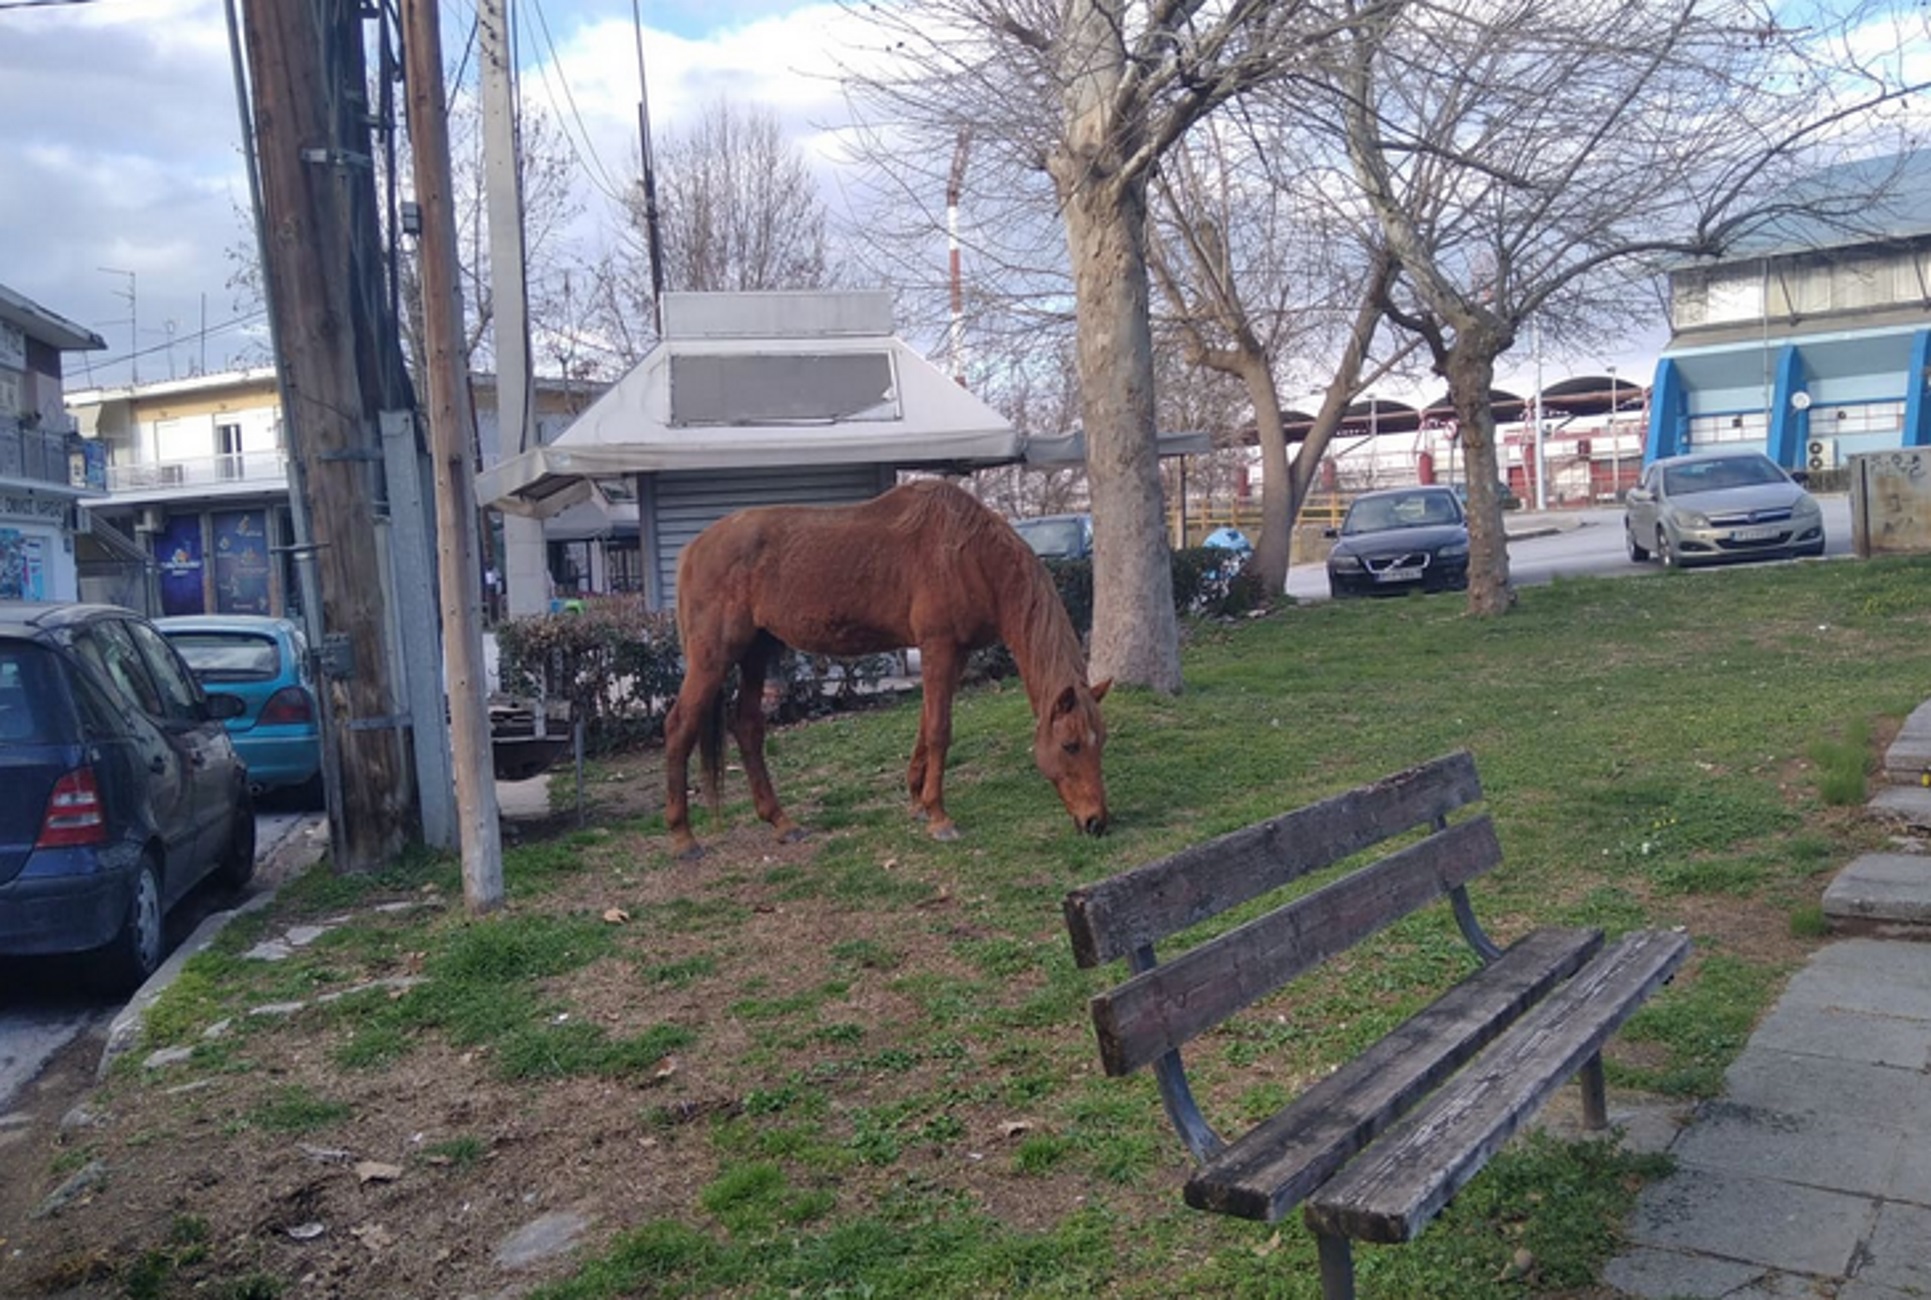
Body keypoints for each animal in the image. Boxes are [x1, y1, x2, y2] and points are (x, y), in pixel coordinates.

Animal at [668, 480, 1112, 857]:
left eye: (1101, 742)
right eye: (1070, 745)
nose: (1097, 822)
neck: (967, 554)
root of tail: (692, 549)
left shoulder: (955, 654)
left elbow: (926, 724)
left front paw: (917, 801)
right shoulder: (938, 647)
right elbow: (939, 730)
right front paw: (939, 817)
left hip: (756, 650)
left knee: (747, 726)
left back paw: (781, 822)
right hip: (714, 656)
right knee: (679, 725)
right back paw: (683, 837)